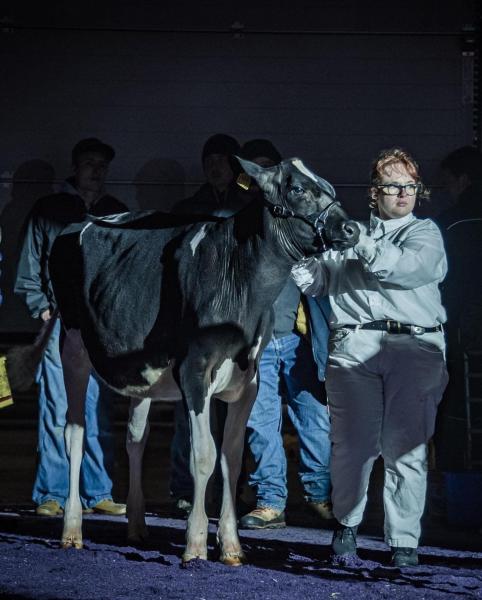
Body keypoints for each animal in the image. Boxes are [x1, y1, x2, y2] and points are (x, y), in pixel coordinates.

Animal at [49, 157, 360, 564]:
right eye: (297, 189)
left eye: (330, 187)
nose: (352, 229)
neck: (240, 279)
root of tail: (83, 220)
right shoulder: (194, 371)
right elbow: (204, 456)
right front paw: (195, 544)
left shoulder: (249, 379)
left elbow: (231, 456)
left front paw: (231, 546)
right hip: (71, 344)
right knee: (75, 430)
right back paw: (71, 530)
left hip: (141, 373)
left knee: (135, 439)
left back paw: (136, 526)